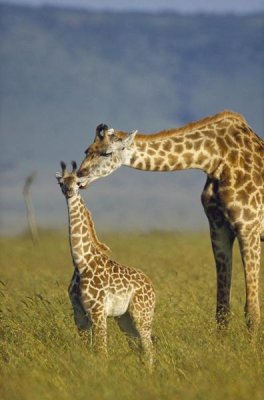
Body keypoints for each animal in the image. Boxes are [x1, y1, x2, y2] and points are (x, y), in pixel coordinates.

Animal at [55, 162, 155, 366]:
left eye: (78, 183)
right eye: (61, 183)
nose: (69, 191)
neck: (81, 263)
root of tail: (152, 287)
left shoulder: (98, 311)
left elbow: (101, 352)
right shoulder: (79, 313)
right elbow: (89, 350)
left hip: (142, 315)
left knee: (149, 350)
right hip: (124, 318)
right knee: (138, 348)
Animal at [78, 111, 264, 332]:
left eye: (106, 153)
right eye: (87, 150)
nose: (79, 177)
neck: (214, 160)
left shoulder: (248, 226)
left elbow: (252, 312)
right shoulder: (218, 228)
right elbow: (222, 310)